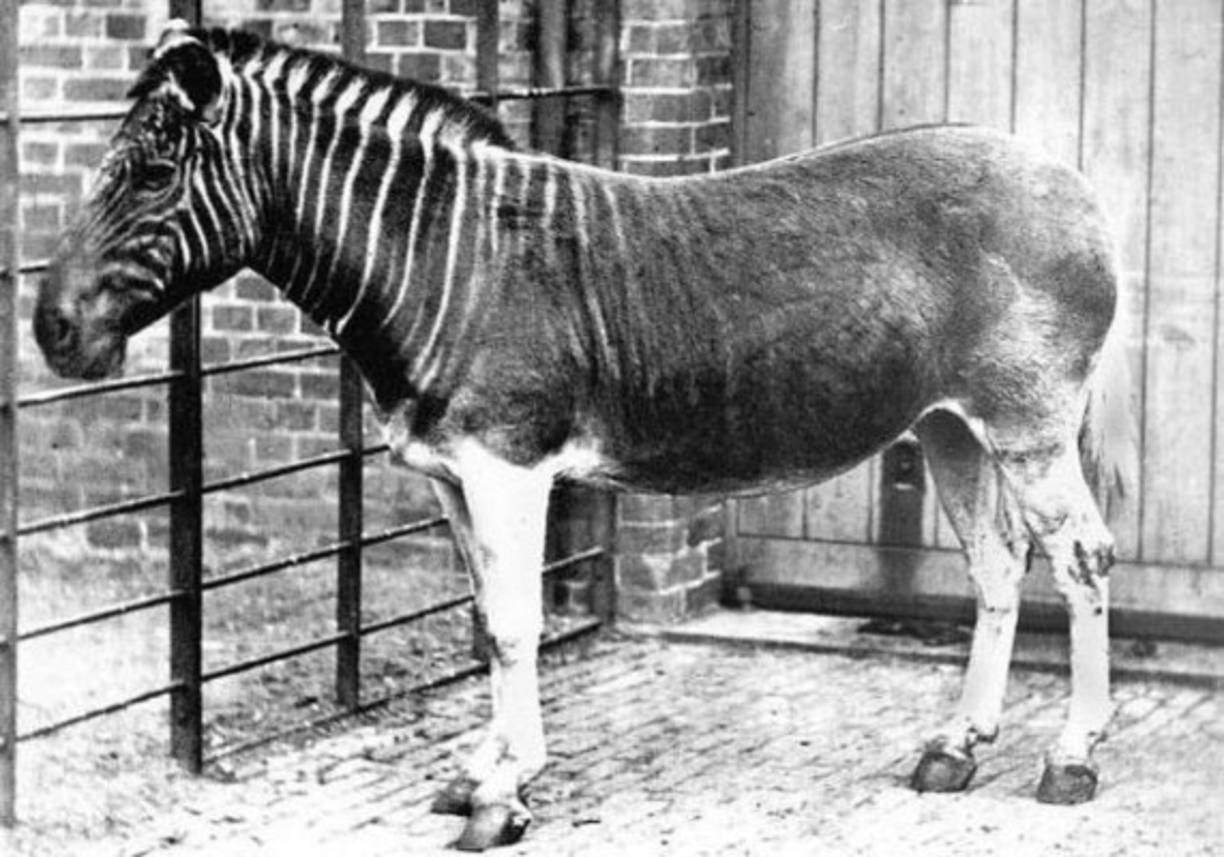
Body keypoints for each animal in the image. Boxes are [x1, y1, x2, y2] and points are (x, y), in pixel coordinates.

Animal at [36, 23, 1131, 852]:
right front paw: (481, 767)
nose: (50, 331)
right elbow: (486, 619)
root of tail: (1074, 180)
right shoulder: (450, 474)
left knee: (1081, 557)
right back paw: (957, 746)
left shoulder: (508, 467)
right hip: (951, 425)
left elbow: (517, 625)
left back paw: (1071, 756)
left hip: (1028, 422)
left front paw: (504, 795)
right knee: (998, 567)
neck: (437, 261)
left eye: (152, 173)